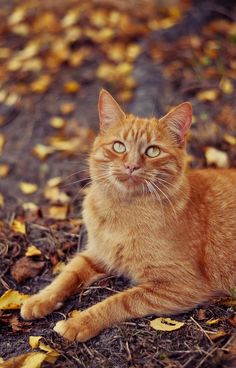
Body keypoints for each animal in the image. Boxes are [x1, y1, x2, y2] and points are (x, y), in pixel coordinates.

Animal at [20, 89, 236, 342]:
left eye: (153, 151)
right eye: (119, 147)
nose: (132, 166)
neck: (123, 210)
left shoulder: (180, 285)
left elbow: (119, 301)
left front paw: (79, 322)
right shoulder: (97, 254)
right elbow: (67, 274)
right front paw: (39, 299)